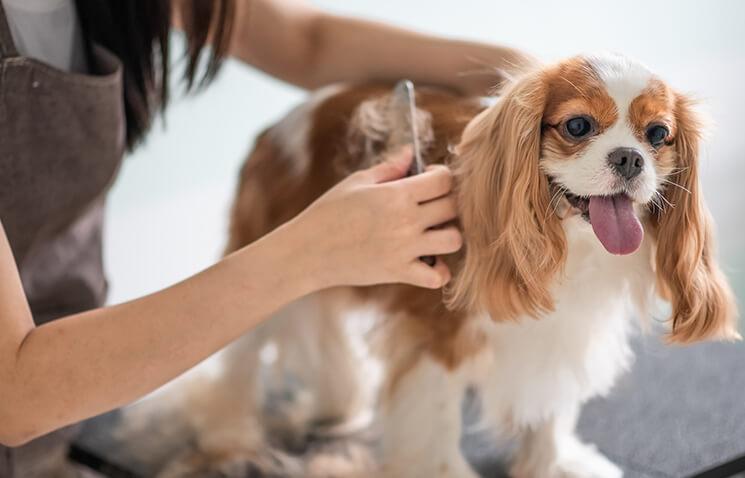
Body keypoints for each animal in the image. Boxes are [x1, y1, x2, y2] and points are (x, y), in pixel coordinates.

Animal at [171, 53, 736, 478]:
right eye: (578, 126)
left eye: (658, 134)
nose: (630, 158)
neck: (570, 245)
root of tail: (276, 127)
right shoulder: (435, 334)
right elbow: (437, 418)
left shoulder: (559, 331)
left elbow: (549, 404)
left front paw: (552, 464)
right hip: (267, 265)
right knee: (240, 358)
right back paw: (228, 433)